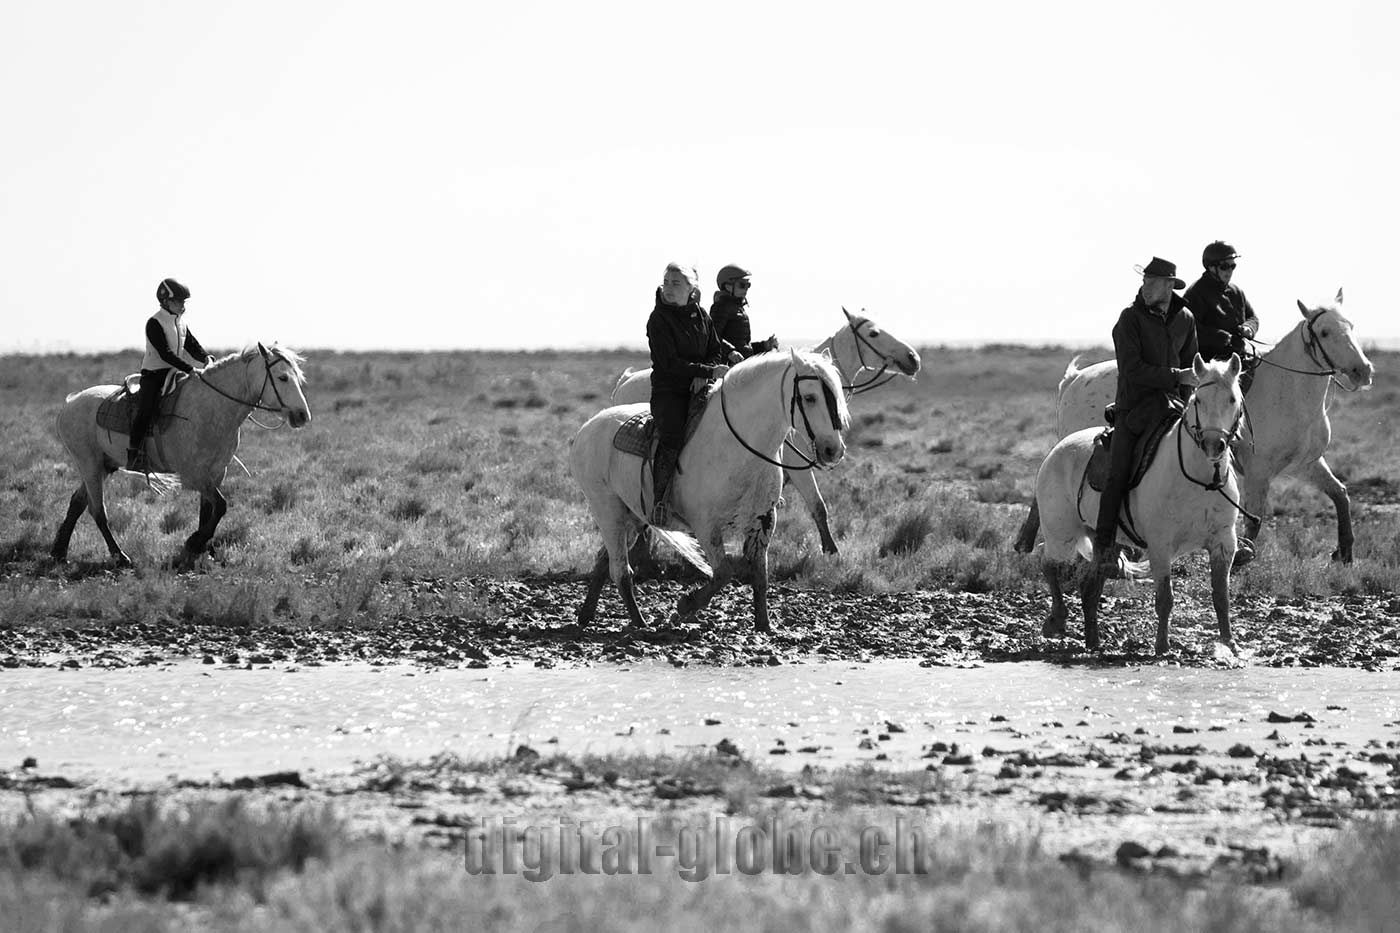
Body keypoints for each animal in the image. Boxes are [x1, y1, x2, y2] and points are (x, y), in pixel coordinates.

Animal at [571, 348, 851, 633]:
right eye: (810, 397)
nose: (833, 450)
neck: (737, 448)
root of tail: (587, 427)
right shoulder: (706, 526)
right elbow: (724, 573)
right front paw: (685, 606)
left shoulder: (764, 521)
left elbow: (760, 576)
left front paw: (764, 624)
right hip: (608, 511)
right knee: (621, 571)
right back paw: (640, 623)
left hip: (632, 517)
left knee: (604, 560)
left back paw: (586, 615)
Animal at [610, 305, 918, 551]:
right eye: (874, 333)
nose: (913, 358)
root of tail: (623, 382)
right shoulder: (799, 463)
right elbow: (817, 505)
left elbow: (817, 507)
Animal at [1013, 292, 1372, 560]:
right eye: (1325, 332)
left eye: (1352, 326)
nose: (1362, 371)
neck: (1288, 391)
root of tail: (1075, 378)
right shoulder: (1259, 472)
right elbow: (1255, 519)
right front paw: (1244, 556)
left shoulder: (1307, 464)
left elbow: (1340, 495)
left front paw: (1344, 552)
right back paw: (1028, 542)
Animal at [1041, 354, 1248, 652]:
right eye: (1198, 400)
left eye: (1232, 399)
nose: (1213, 444)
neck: (1199, 479)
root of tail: (1058, 450)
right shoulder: (1160, 545)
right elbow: (1165, 598)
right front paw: (1162, 646)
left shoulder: (1224, 542)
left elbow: (1221, 595)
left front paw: (1229, 643)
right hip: (1062, 534)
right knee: (1049, 563)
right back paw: (1057, 619)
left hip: (1102, 541)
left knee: (1089, 582)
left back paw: (1093, 641)